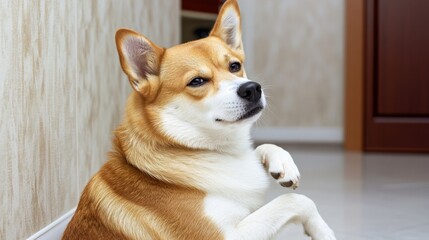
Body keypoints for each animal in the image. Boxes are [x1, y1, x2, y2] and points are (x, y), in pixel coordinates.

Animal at [63, 0, 336, 239]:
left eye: (234, 66)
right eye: (197, 81)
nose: (252, 88)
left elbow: (262, 151)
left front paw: (283, 164)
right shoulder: (225, 235)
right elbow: (296, 201)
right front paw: (323, 232)